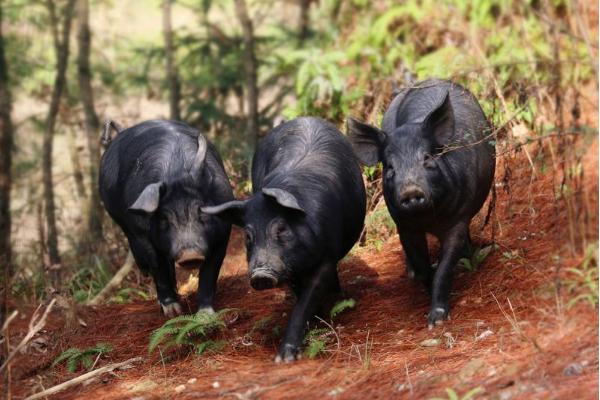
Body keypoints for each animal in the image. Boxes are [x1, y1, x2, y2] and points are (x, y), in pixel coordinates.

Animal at [99, 120, 233, 318]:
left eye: (201, 211)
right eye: (163, 218)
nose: (190, 255)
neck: (176, 171)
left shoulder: (223, 232)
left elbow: (210, 272)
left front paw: (205, 316)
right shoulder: (142, 234)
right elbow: (158, 268)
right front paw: (173, 313)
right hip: (120, 220)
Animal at [202, 116, 366, 362]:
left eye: (281, 229)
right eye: (248, 235)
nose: (261, 275)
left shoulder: (326, 256)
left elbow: (310, 294)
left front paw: (285, 359)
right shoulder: (289, 267)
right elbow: (300, 294)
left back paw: (338, 295)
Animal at [350, 79, 494, 328]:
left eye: (427, 158)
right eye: (390, 167)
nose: (410, 190)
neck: (428, 219)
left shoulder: (459, 218)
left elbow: (445, 266)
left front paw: (436, 321)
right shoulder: (404, 225)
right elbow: (421, 263)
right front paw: (422, 286)